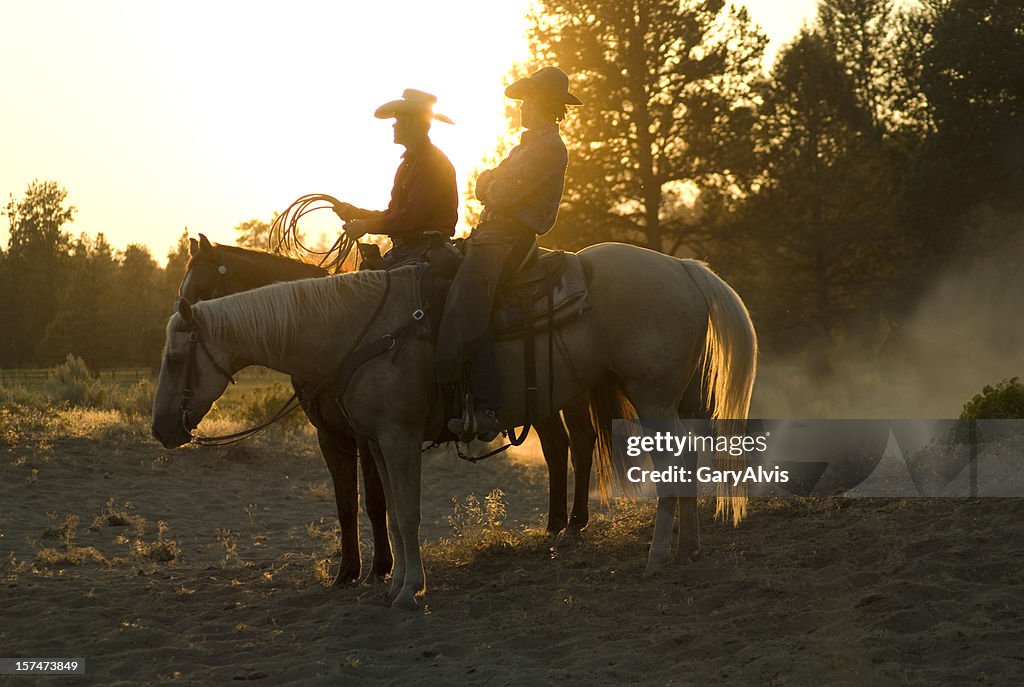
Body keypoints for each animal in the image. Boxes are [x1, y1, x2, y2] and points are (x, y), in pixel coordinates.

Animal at [153, 244, 761, 610]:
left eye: (176, 357)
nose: (161, 428)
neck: (355, 329)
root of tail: (684, 269)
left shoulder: (394, 438)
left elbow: (402, 512)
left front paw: (404, 588)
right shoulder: (375, 442)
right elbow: (388, 512)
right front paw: (391, 579)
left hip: (650, 394)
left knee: (660, 464)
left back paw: (654, 555)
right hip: (662, 396)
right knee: (675, 458)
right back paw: (683, 547)